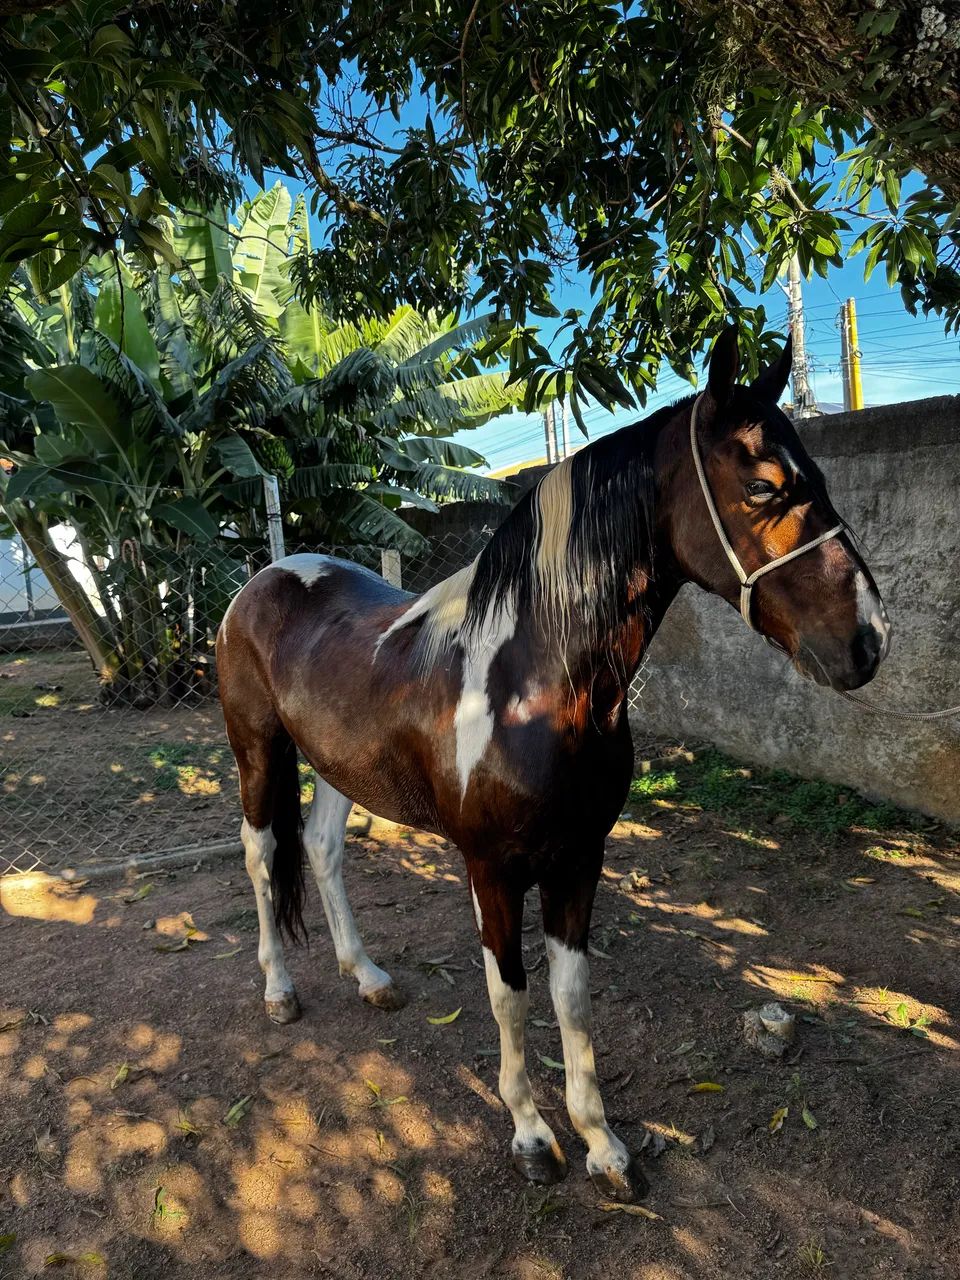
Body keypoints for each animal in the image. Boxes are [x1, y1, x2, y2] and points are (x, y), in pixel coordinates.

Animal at [216, 327, 890, 1202]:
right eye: (764, 486)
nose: (869, 639)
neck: (533, 685)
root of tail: (263, 578)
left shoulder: (579, 859)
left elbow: (571, 998)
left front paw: (603, 1145)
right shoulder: (492, 869)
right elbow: (509, 996)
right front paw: (533, 1137)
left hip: (339, 768)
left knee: (324, 852)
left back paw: (367, 976)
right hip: (259, 752)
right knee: (263, 855)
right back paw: (278, 990)